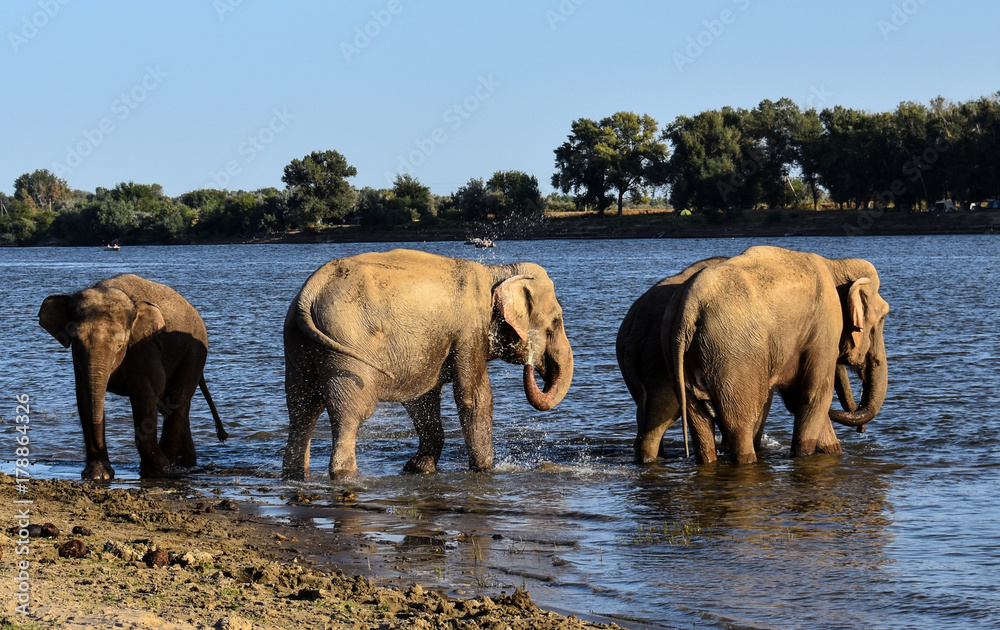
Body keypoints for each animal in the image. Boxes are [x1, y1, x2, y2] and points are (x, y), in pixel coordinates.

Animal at [39, 274, 227, 480]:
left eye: (120, 345)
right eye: (75, 342)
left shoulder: (144, 345)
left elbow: (145, 394)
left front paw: (156, 470)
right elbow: (84, 397)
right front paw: (98, 475)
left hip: (193, 353)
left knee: (175, 403)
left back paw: (170, 466)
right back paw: (184, 464)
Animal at [281, 248, 574, 480]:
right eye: (556, 321)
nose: (532, 364)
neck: (496, 272)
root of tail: (310, 292)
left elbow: (422, 399)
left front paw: (418, 468)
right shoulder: (470, 330)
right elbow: (474, 398)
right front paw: (485, 470)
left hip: (296, 343)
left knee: (302, 409)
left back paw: (295, 475)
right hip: (346, 345)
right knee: (350, 412)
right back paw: (345, 474)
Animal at [668, 246, 889, 465]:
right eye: (882, 318)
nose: (861, 431)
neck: (836, 264)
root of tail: (691, 307)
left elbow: (801, 397)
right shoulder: (824, 324)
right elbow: (815, 395)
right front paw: (805, 454)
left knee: (699, 423)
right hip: (734, 360)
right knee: (741, 426)